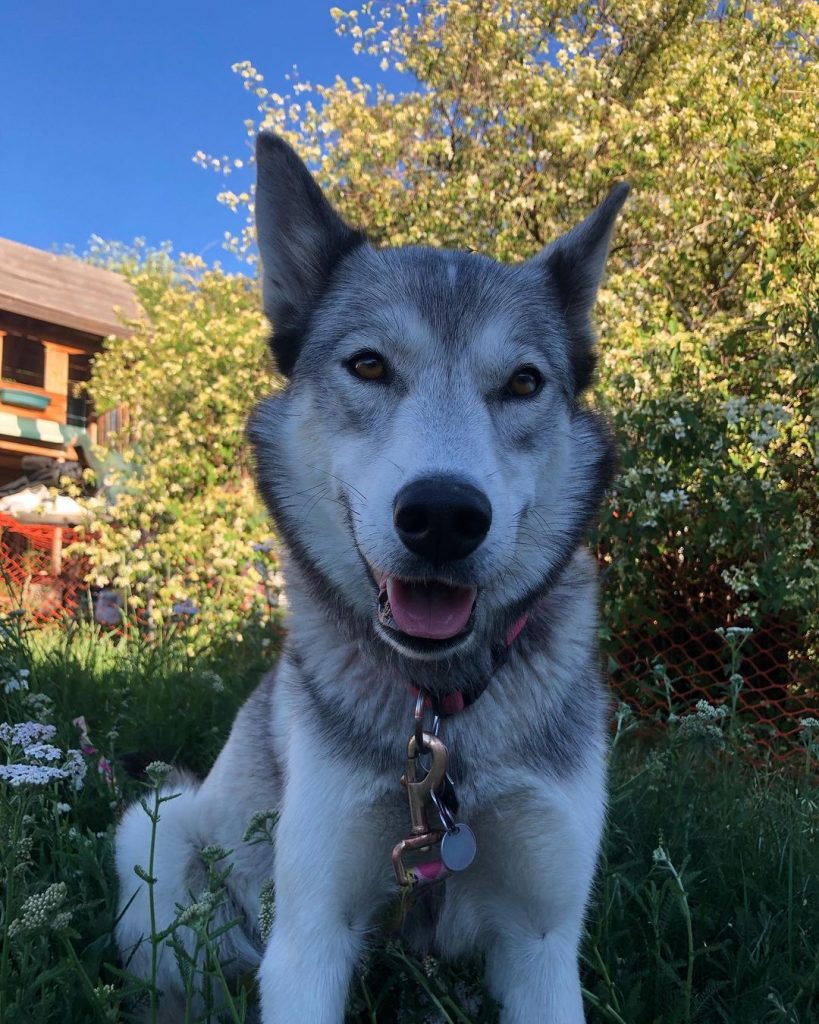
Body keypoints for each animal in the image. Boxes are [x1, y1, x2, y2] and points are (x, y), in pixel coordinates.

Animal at [113, 136, 626, 1024]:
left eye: (524, 382)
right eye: (368, 365)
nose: (445, 515)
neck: (443, 719)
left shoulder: (543, 942)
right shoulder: (309, 935)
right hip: (159, 831)